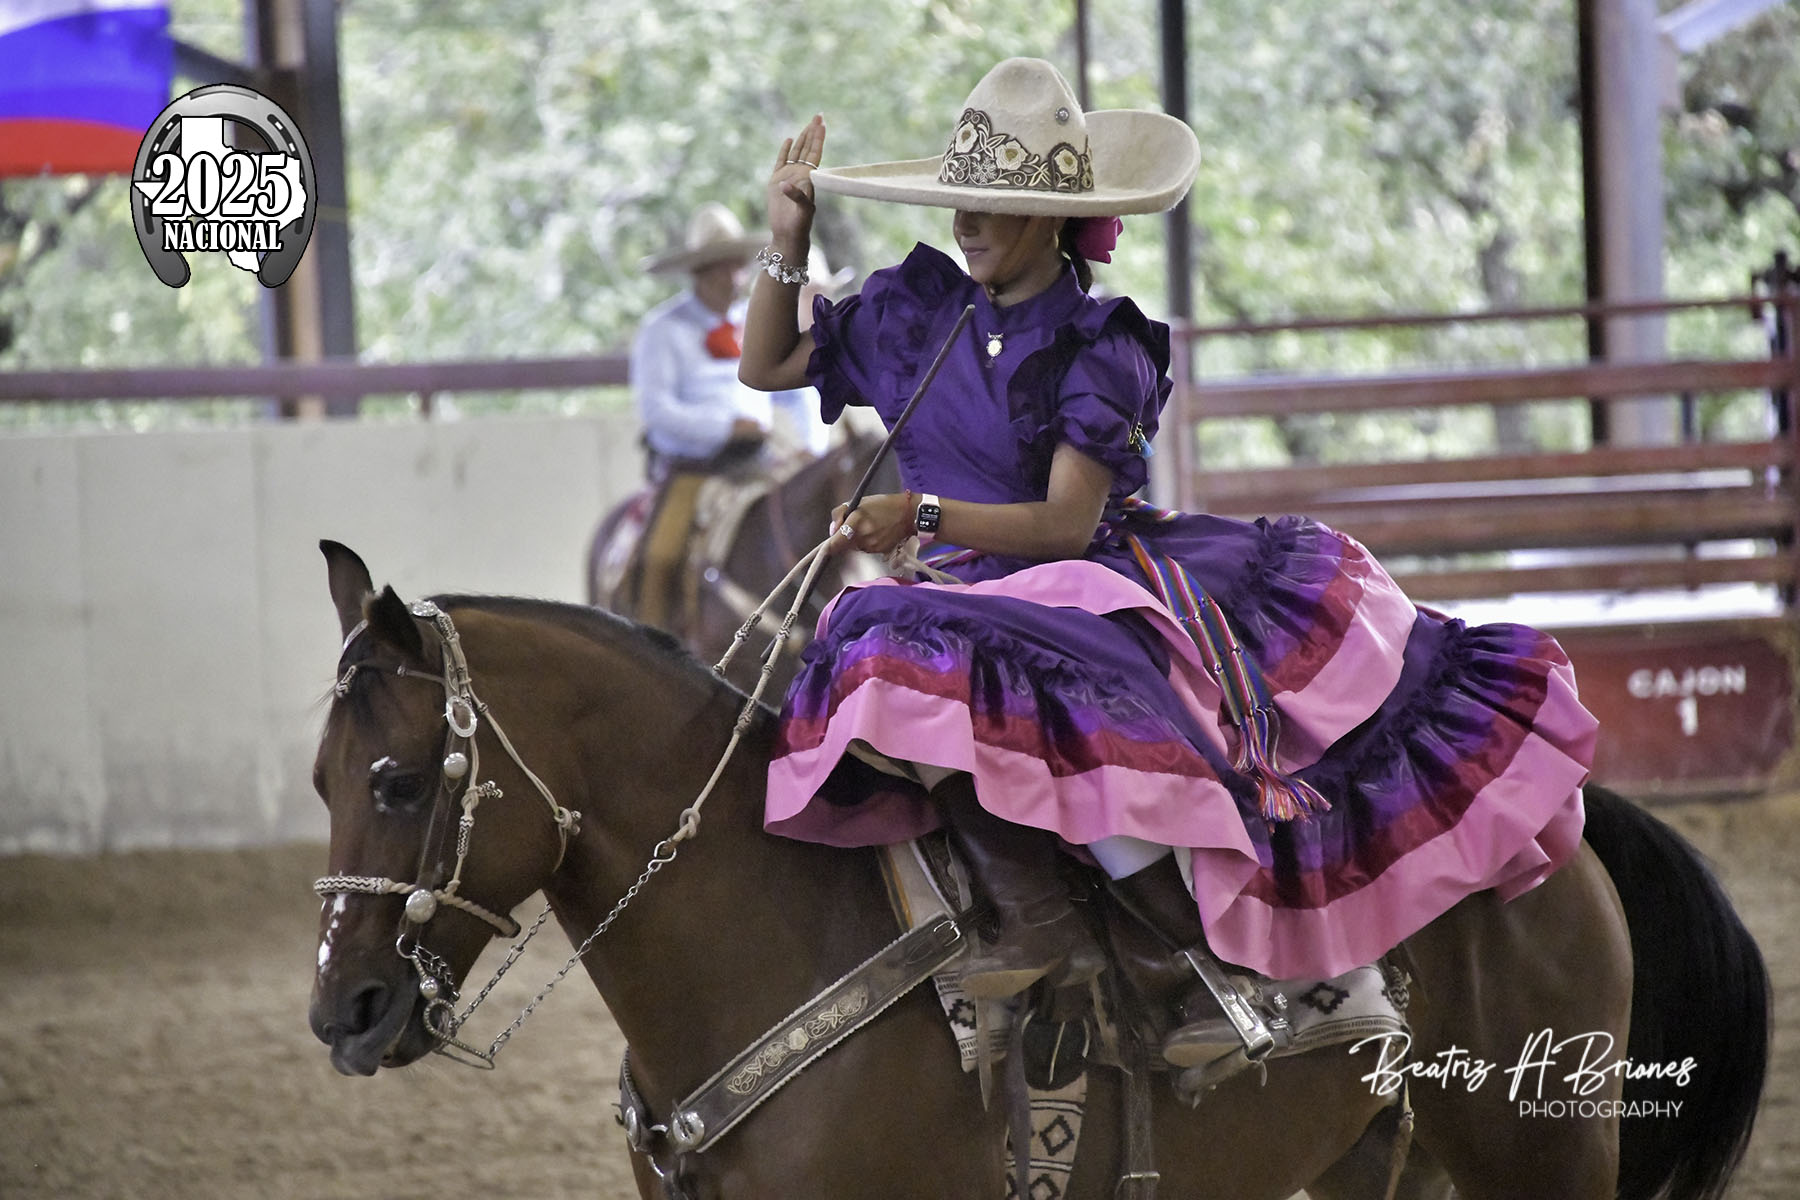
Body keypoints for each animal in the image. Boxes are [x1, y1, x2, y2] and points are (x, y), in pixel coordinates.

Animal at [307, 540, 1769, 1200]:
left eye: (397, 782)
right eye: (320, 782)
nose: (344, 1012)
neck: (777, 937)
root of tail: (1568, 829)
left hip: (1544, 1142)